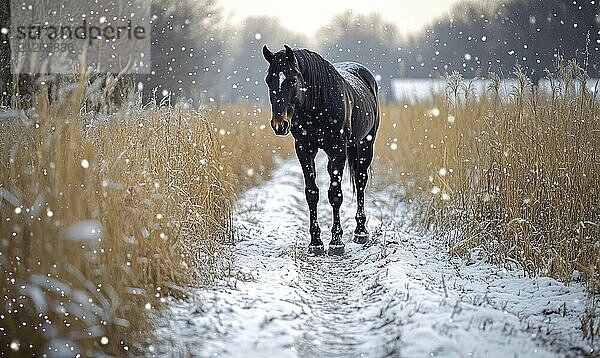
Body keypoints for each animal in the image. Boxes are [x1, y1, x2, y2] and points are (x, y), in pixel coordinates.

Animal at [262, 44, 380, 256]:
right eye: (269, 80)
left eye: (292, 80)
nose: (279, 124)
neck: (316, 105)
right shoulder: (304, 149)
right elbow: (312, 193)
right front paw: (316, 243)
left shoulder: (338, 149)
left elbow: (335, 194)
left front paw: (336, 242)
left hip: (365, 144)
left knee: (360, 181)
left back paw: (360, 231)